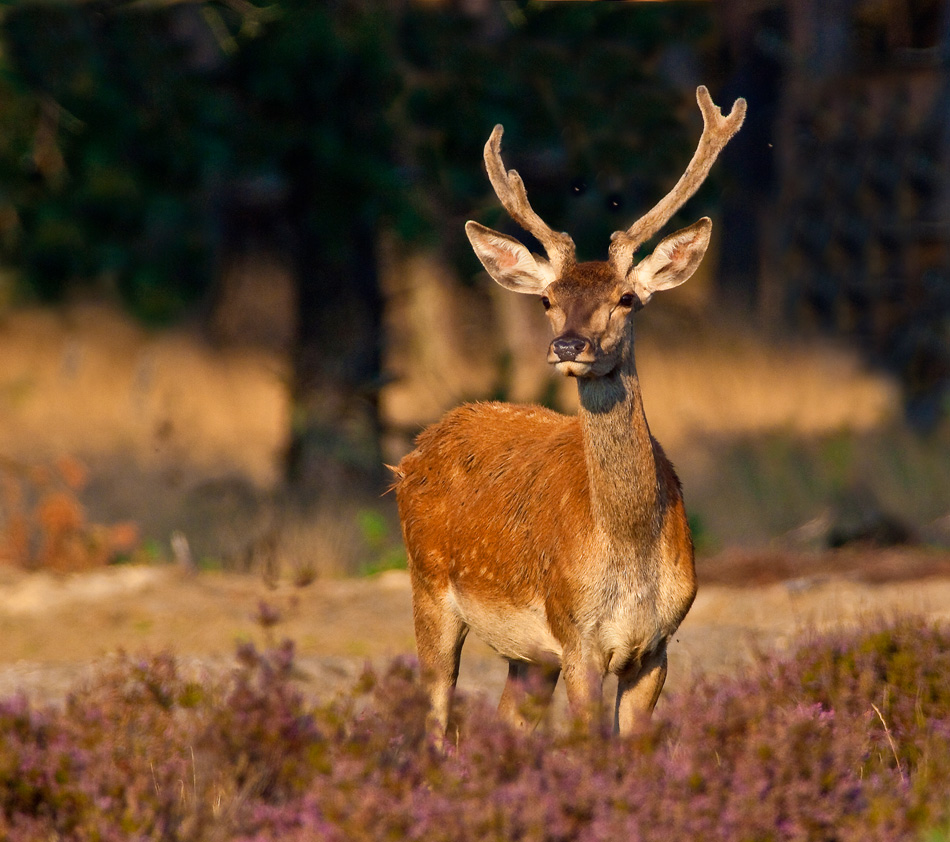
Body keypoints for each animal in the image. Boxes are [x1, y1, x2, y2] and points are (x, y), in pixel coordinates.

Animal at [390, 87, 748, 736]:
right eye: (547, 299)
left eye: (627, 298)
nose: (568, 346)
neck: (629, 554)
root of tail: (413, 452)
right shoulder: (576, 636)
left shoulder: (655, 649)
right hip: (427, 586)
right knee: (435, 717)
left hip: (527, 657)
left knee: (506, 718)